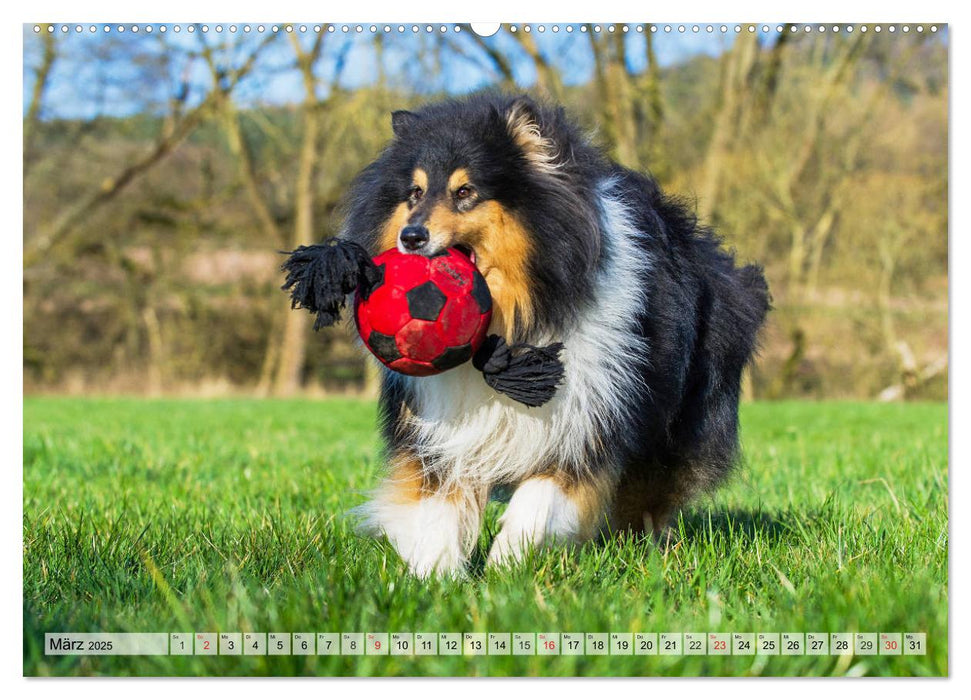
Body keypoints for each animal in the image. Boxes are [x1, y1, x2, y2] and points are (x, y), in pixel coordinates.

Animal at [334, 93, 768, 576]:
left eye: (465, 192)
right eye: (414, 193)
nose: (411, 236)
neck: (516, 321)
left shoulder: (583, 420)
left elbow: (538, 504)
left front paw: (504, 567)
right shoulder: (439, 430)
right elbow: (437, 508)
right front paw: (437, 575)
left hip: (674, 425)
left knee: (647, 498)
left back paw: (644, 551)